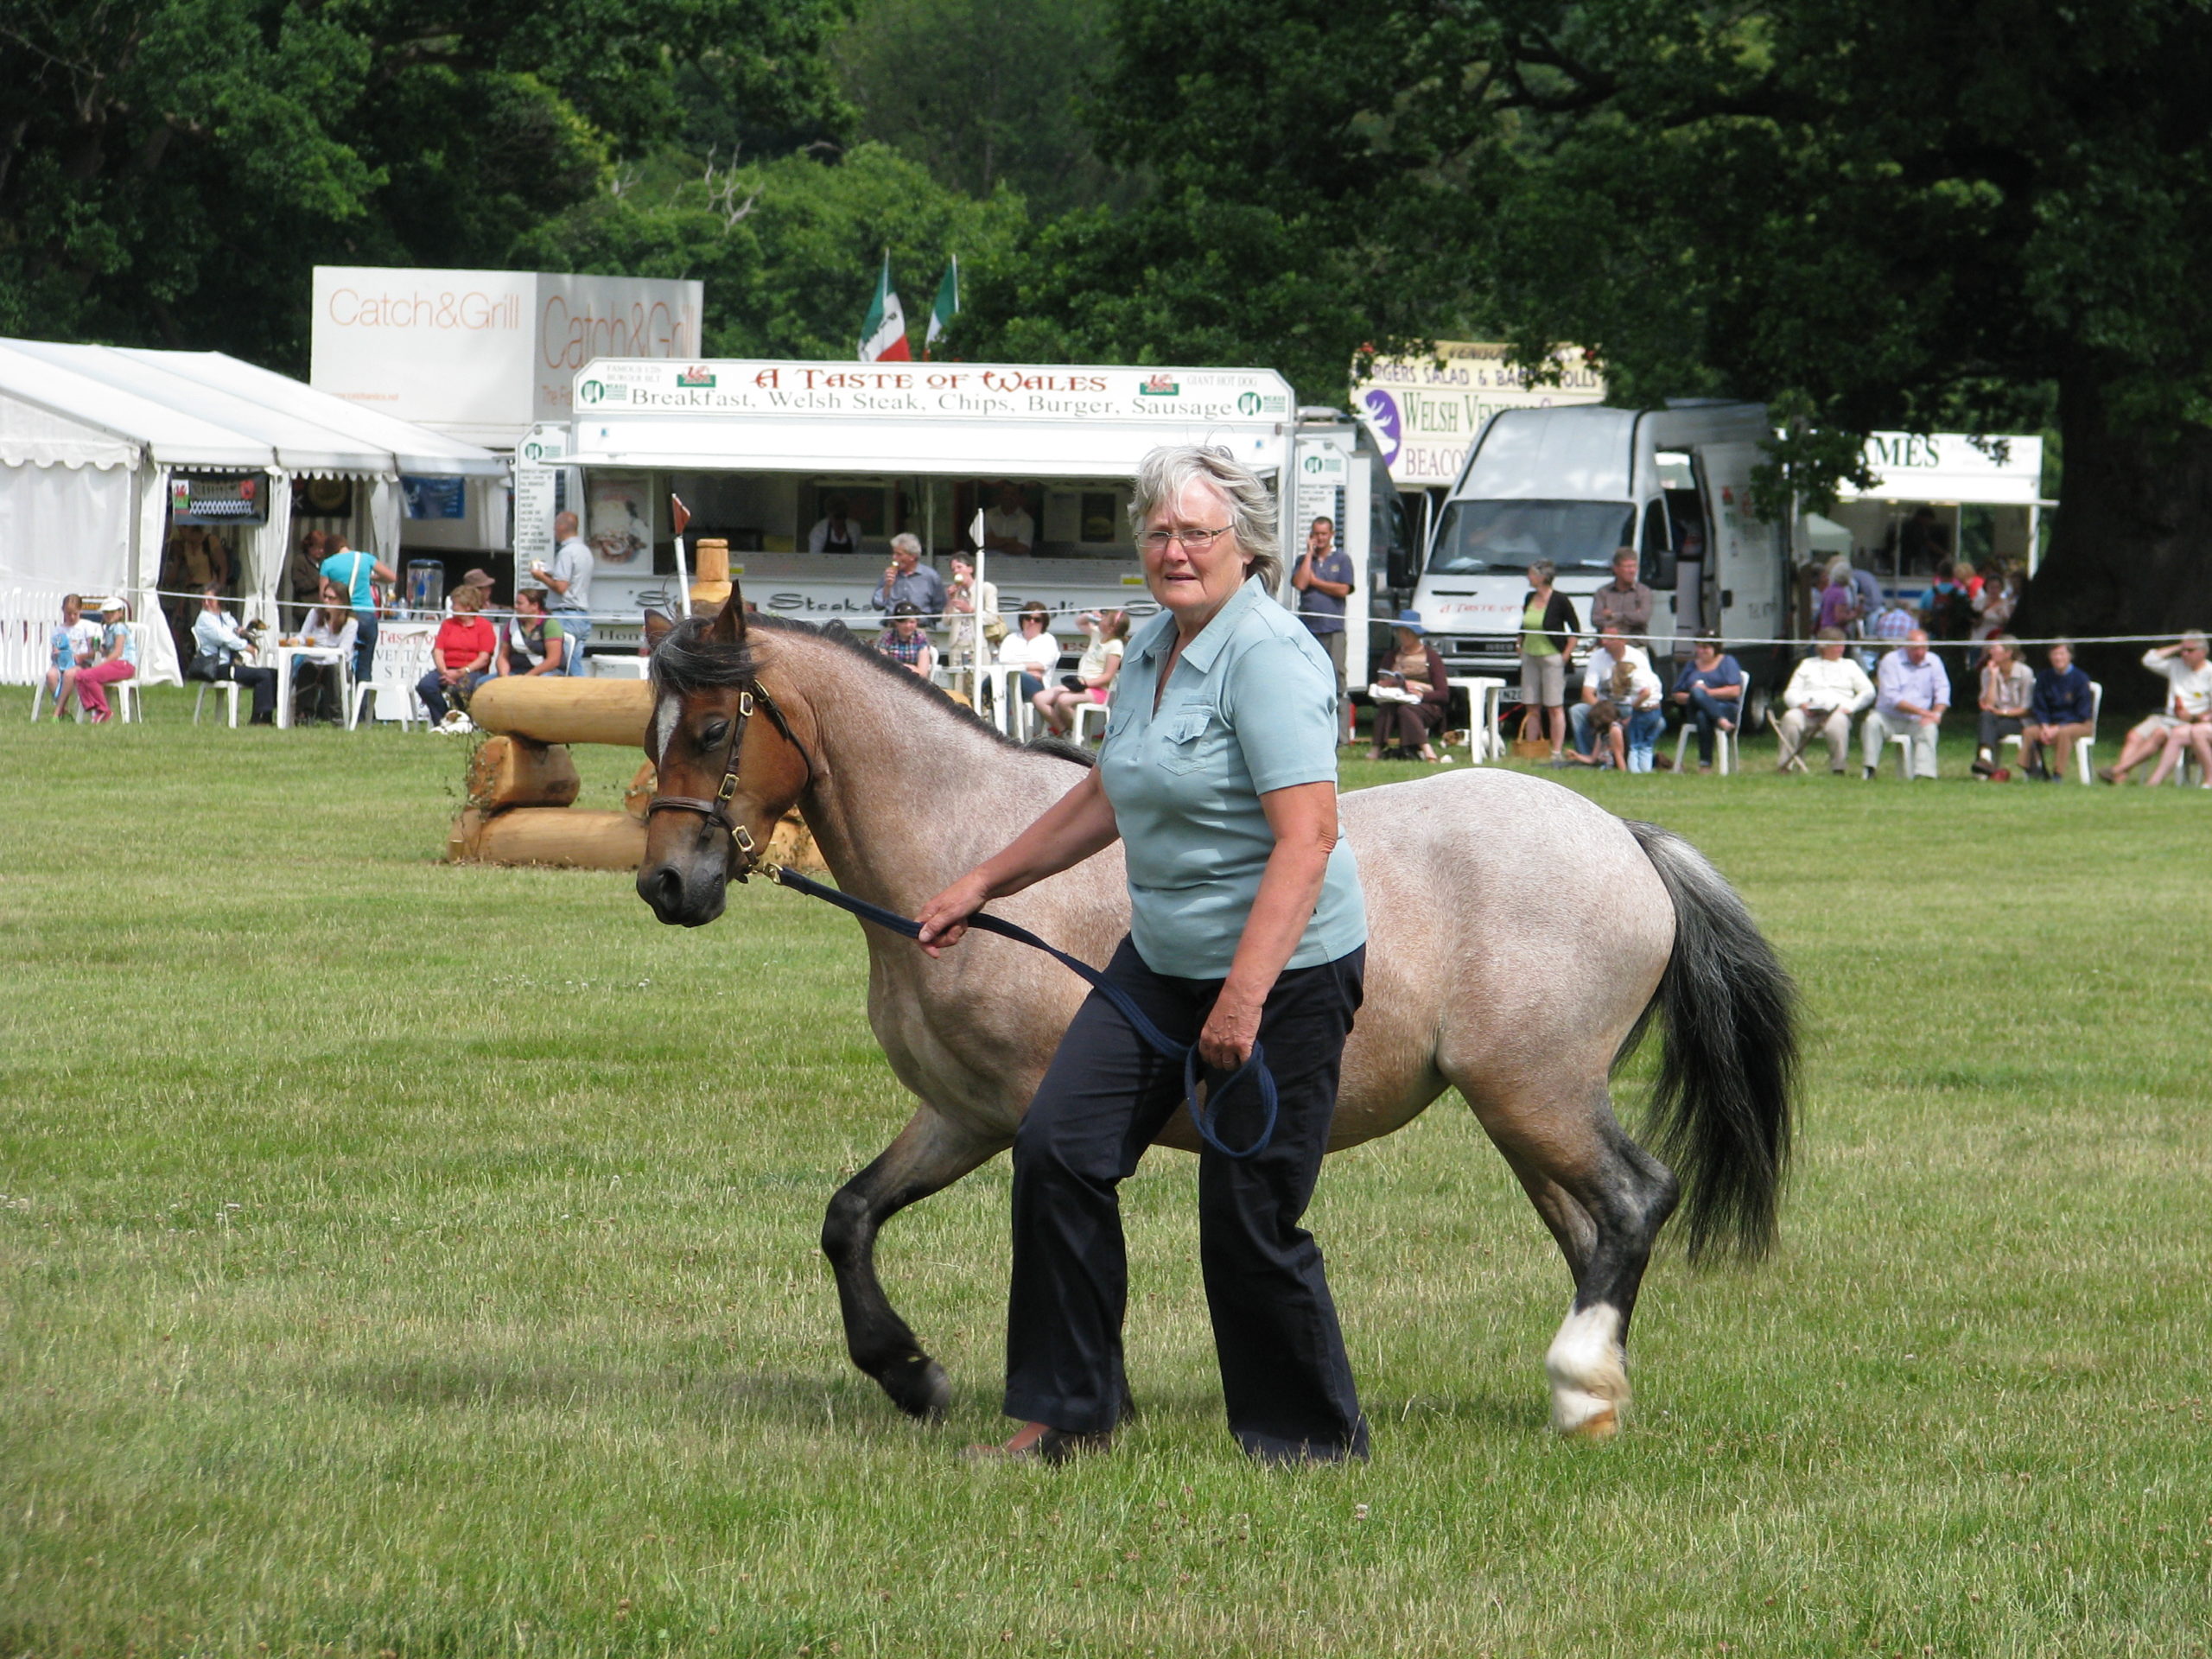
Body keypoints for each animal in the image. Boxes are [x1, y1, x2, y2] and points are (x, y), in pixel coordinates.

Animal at [632, 597, 1787, 1442]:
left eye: (710, 728)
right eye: (649, 732)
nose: (665, 884)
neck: (973, 858)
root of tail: (1626, 840)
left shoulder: (1029, 1118)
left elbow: (1056, 1242)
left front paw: (1075, 1403)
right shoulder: (962, 1115)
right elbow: (850, 1218)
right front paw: (910, 1374)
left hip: (1536, 1095)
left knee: (1636, 1202)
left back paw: (1580, 1377)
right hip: (1522, 1112)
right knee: (1591, 1232)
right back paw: (1592, 1399)